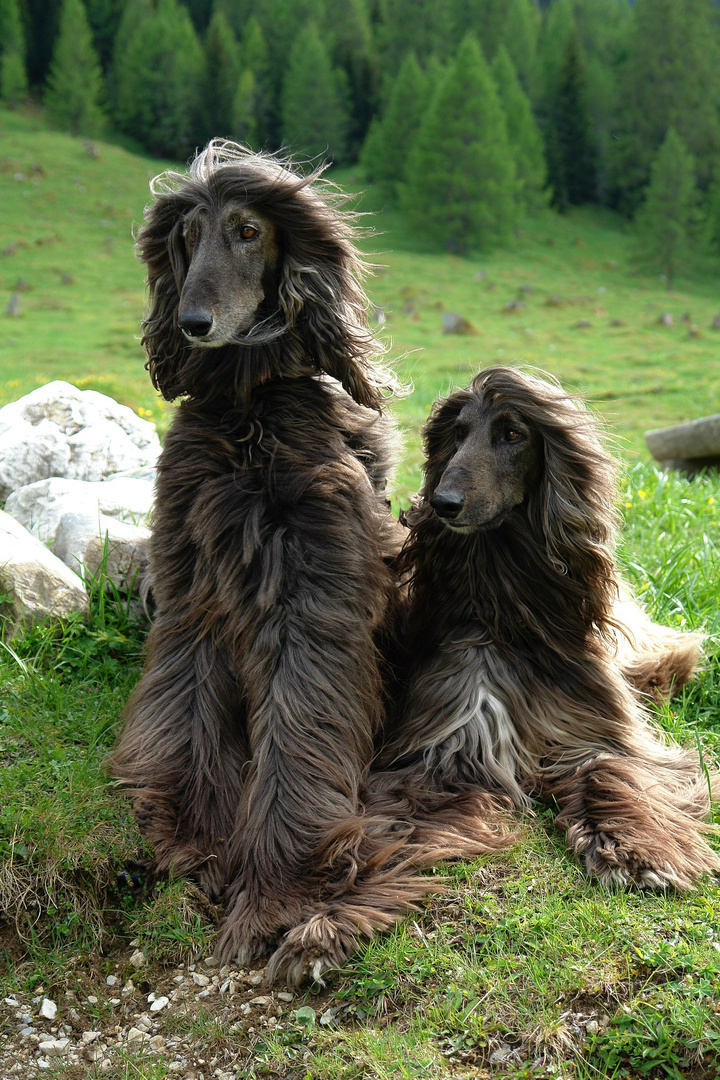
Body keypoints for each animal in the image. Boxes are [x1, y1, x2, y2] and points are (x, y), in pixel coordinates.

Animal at [111, 139, 507, 984]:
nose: (193, 323)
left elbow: (300, 722)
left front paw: (279, 891)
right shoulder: (193, 583)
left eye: (248, 229)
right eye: (186, 235)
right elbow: (186, 703)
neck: (249, 412)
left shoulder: (311, 594)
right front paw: (193, 837)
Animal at [379, 367, 716, 889]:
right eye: (458, 433)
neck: (502, 610)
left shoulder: (595, 733)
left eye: (513, 434)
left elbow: (612, 769)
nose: (441, 503)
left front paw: (640, 848)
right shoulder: (448, 742)